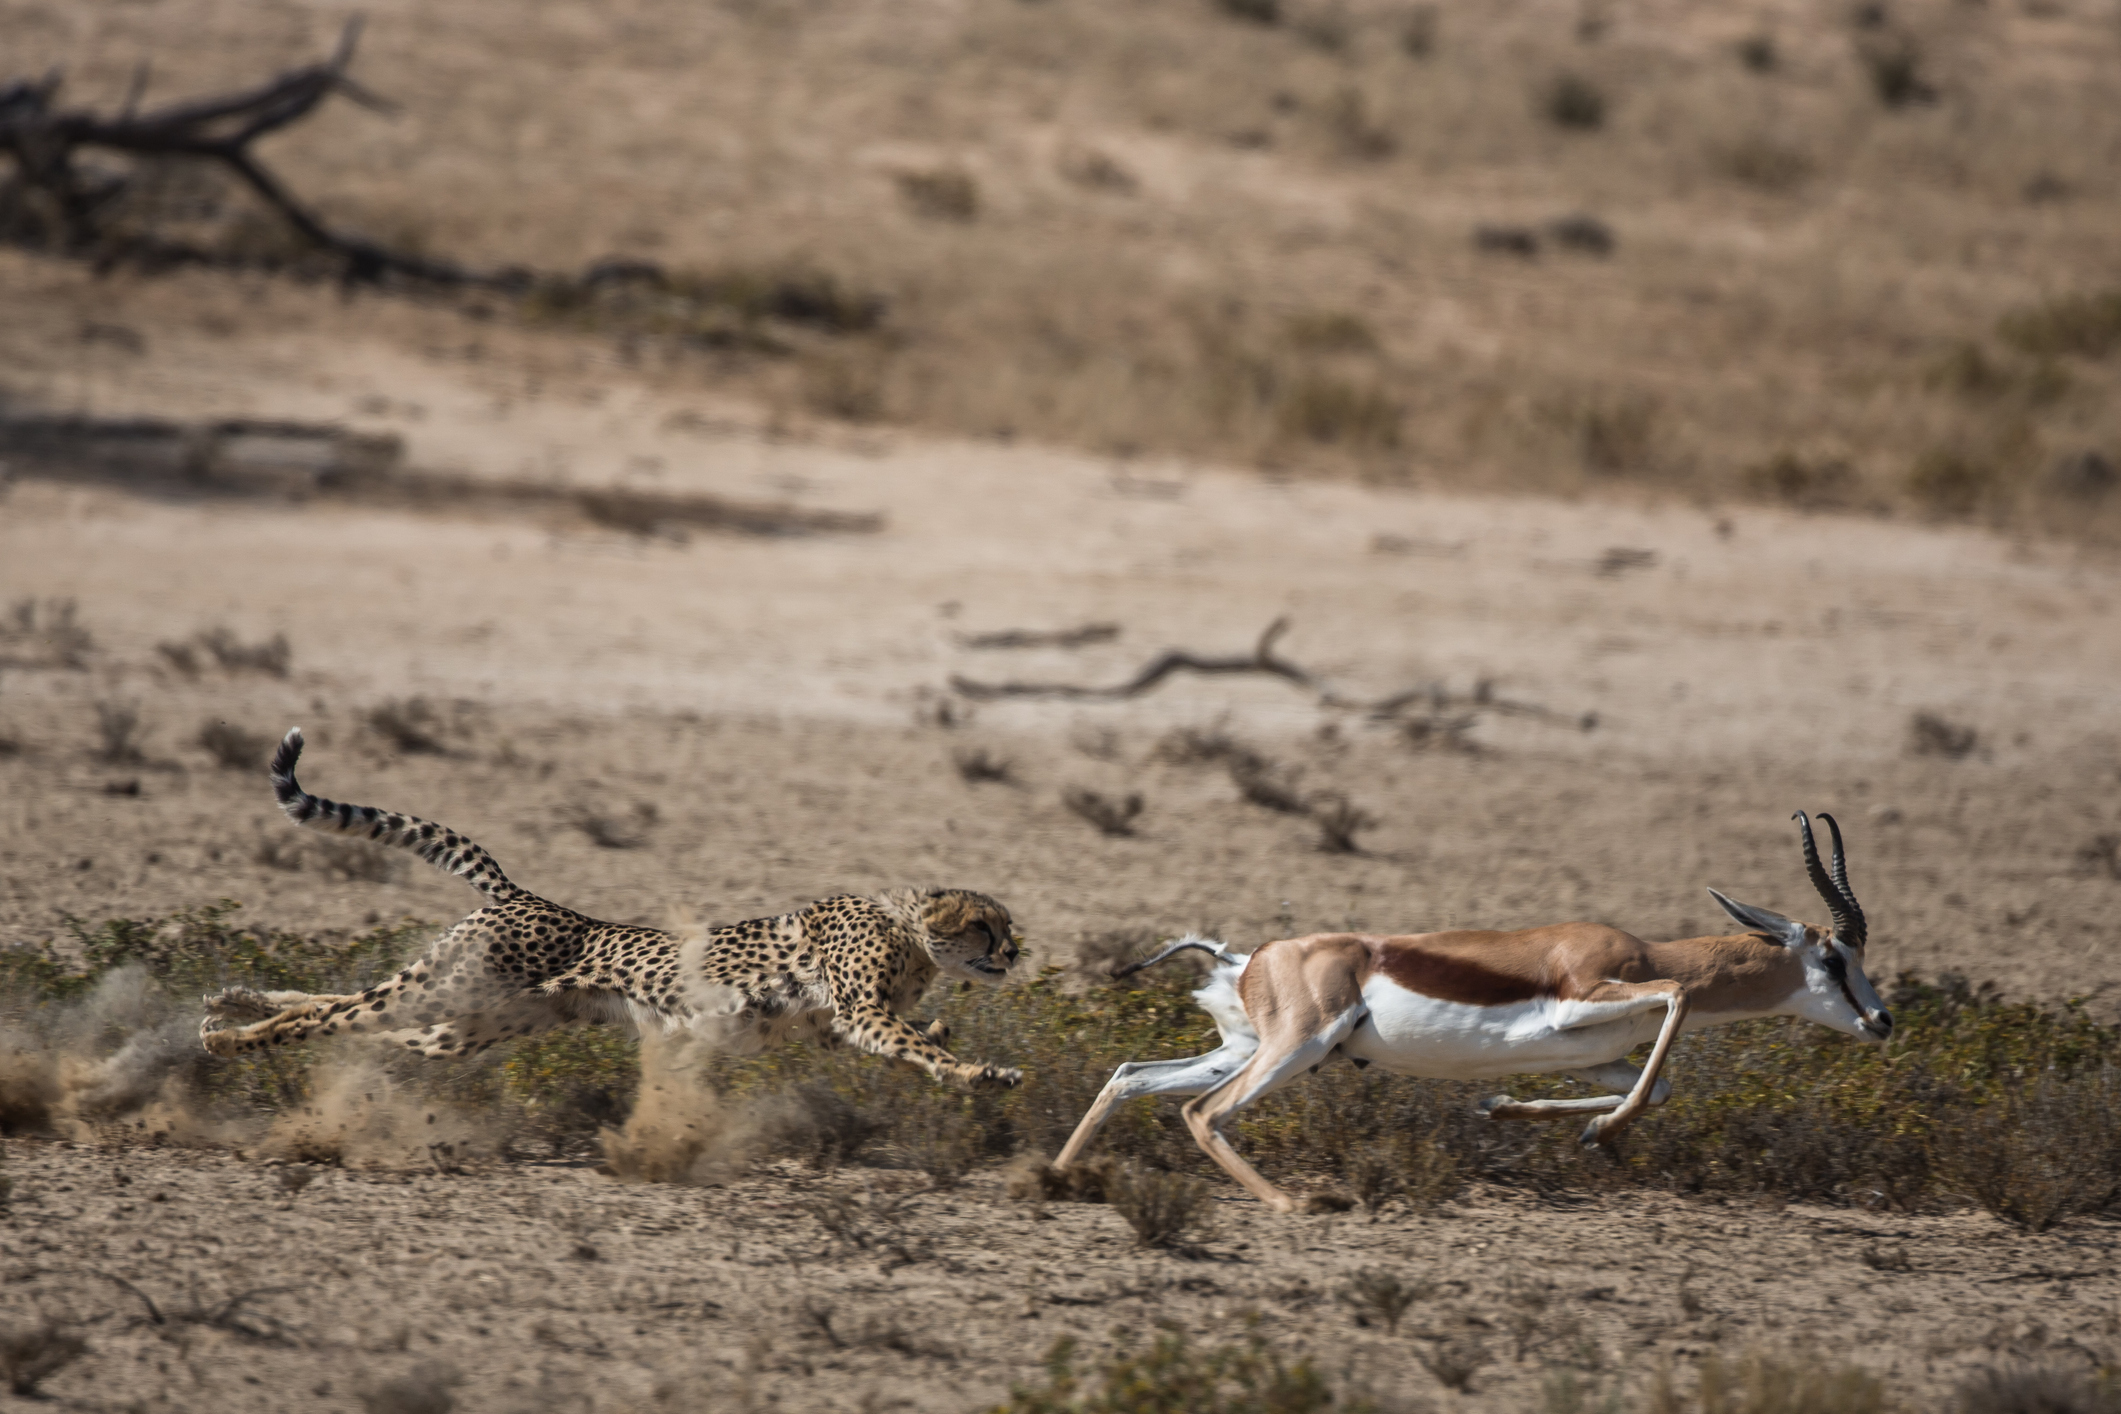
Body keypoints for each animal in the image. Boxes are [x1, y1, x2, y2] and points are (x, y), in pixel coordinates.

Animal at [198, 728, 1024, 1088]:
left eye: (1008, 928)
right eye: (984, 926)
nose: (1016, 953)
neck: (912, 935)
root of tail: (526, 896)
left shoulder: (830, 1027)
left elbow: (909, 1037)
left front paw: (951, 1040)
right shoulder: (860, 1010)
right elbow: (917, 1045)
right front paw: (978, 1070)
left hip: (458, 1026)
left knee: (337, 1009)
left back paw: (225, 1005)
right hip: (447, 995)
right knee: (329, 1014)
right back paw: (229, 1039)